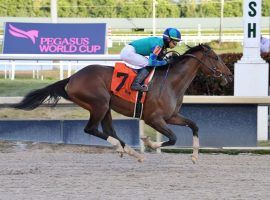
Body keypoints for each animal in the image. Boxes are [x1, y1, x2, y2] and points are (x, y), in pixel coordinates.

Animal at [12, 43, 232, 162]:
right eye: (215, 57)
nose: (229, 75)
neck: (171, 82)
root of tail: (72, 78)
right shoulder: (154, 119)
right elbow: (173, 138)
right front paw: (148, 142)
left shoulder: (171, 116)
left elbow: (194, 126)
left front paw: (194, 156)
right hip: (99, 104)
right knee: (91, 129)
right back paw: (123, 148)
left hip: (105, 107)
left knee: (109, 130)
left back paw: (129, 151)